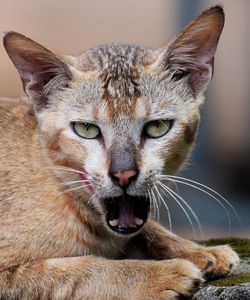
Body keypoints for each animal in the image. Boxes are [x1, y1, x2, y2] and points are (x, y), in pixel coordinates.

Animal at [0, 5, 238, 300]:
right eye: (86, 129)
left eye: (158, 127)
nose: (123, 174)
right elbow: (77, 271)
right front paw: (157, 274)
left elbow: (148, 229)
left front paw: (199, 251)